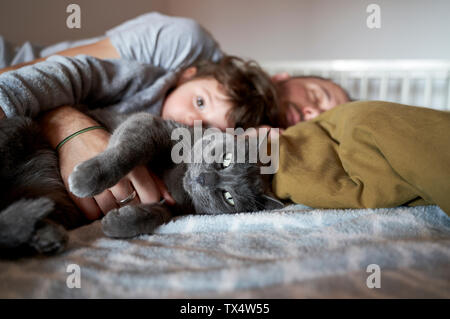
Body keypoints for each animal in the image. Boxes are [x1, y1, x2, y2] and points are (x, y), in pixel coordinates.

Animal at [0, 112, 282, 258]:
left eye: (228, 197)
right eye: (226, 160)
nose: (203, 179)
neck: (178, 177)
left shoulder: (175, 205)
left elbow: (155, 214)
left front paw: (116, 224)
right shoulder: (150, 124)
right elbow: (127, 151)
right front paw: (86, 178)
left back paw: (46, 236)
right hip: (17, 129)